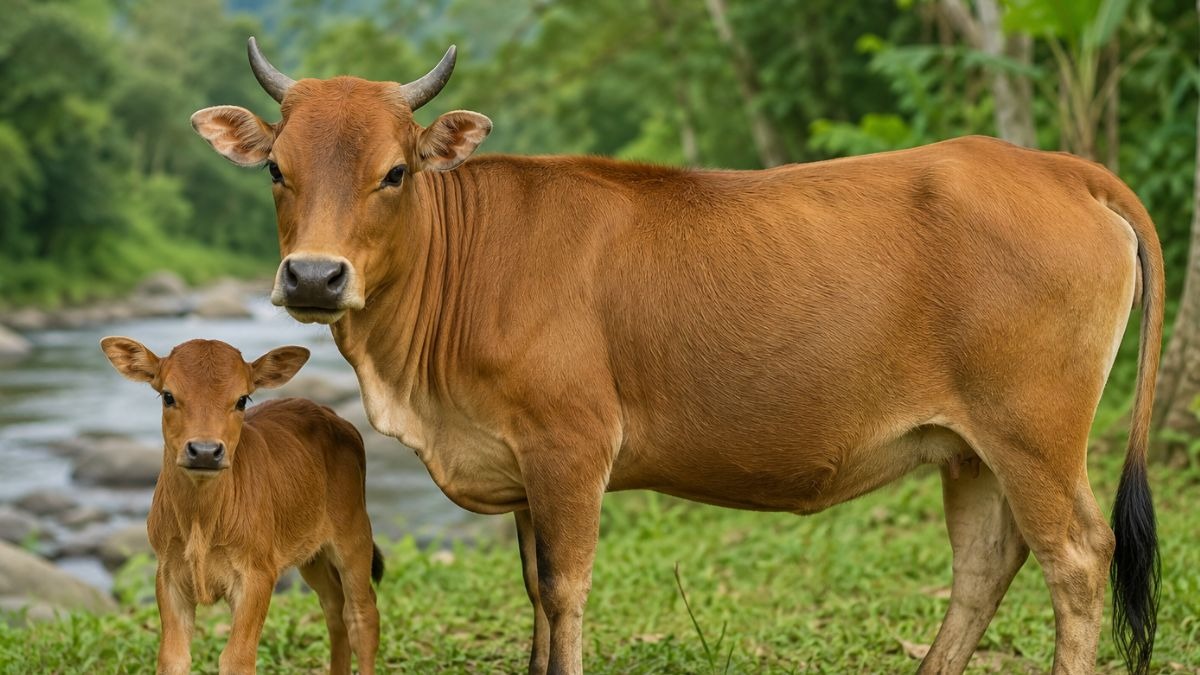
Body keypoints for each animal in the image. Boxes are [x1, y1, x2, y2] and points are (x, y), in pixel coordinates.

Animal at [100, 337, 383, 675]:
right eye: (168, 396)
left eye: (242, 400)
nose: (205, 451)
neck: (202, 520)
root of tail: (335, 418)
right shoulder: (167, 573)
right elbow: (172, 658)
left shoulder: (257, 575)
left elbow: (237, 658)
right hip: (312, 554)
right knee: (333, 609)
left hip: (354, 535)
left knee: (362, 615)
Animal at [188, 37, 1164, 675]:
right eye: (276, 168)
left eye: (394, 172)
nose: (315, 276)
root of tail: (1057, 167)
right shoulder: (522, 467)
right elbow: (534, 592)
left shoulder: (572, 448)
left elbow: (565, 592)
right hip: (970, 449)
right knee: (986, 565)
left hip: (1034, 434)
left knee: (1079, 557)